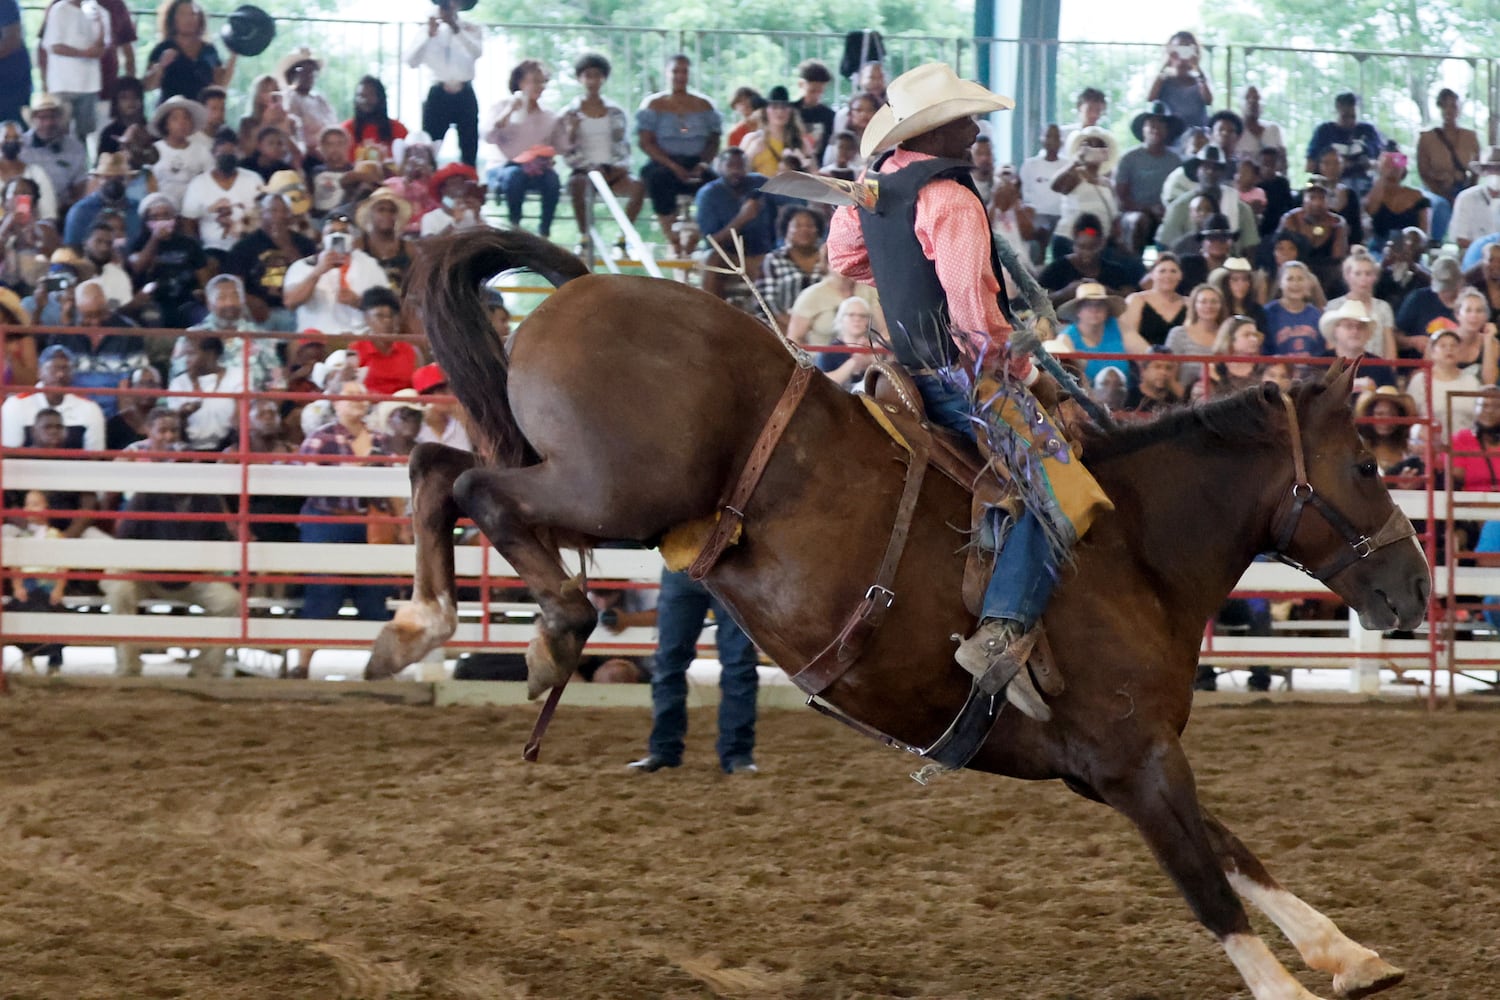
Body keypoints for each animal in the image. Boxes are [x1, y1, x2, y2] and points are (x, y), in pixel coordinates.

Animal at [372, 229, 1428, 1000]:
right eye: (1367, 464)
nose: (1415, 588)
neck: (1135, 550)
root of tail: (591, 284)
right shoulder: (1130, 760)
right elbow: (1207, 878)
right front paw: (1291, 984)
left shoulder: (1119, 765)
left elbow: (1235, 852)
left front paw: (1345, 952)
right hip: (614, 491)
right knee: (471, 487)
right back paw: (531, 635)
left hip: (599, 493)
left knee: (435, 468)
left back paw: (419, 632)